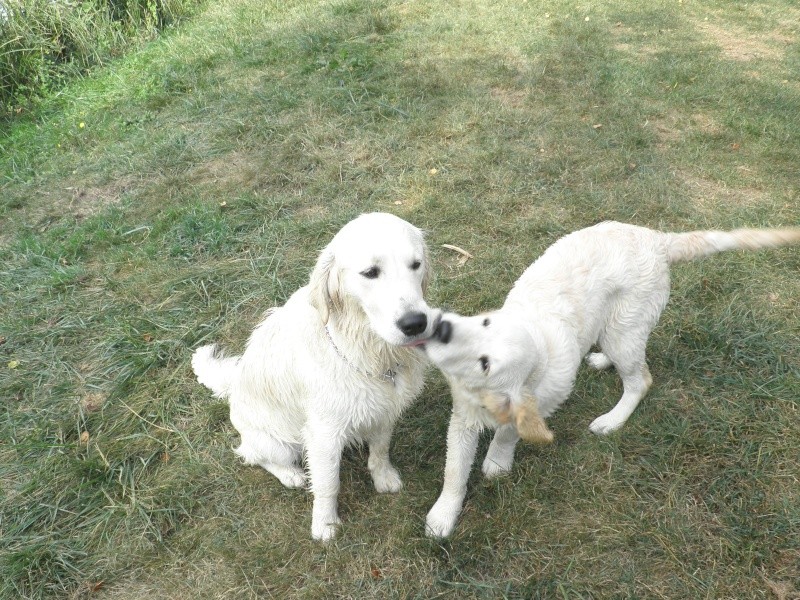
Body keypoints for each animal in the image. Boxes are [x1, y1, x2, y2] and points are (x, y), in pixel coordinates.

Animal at [191, 213, 440, 540]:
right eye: (370, 272)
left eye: (415, 264)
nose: (415, 323)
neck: (370, 350)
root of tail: (233, 386)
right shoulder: (324, 434)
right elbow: (327, 484)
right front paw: (324, 524)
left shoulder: (385, 409)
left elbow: (380, 450)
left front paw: (383, 477)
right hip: (278, 443)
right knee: (252, 455)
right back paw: (290, 475)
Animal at [422, 221, 796, 540]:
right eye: (484, 322)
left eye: (485, 364)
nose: (439, 326)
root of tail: (657, 239)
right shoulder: (463, 417)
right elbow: (454, 471)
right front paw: (443, 515)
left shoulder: (541, 399)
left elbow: (510, 431)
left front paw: (498, 462)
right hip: (616, 327)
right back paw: (602, 359)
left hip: (626, 327)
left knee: (640, 379)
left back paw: (612, 419)